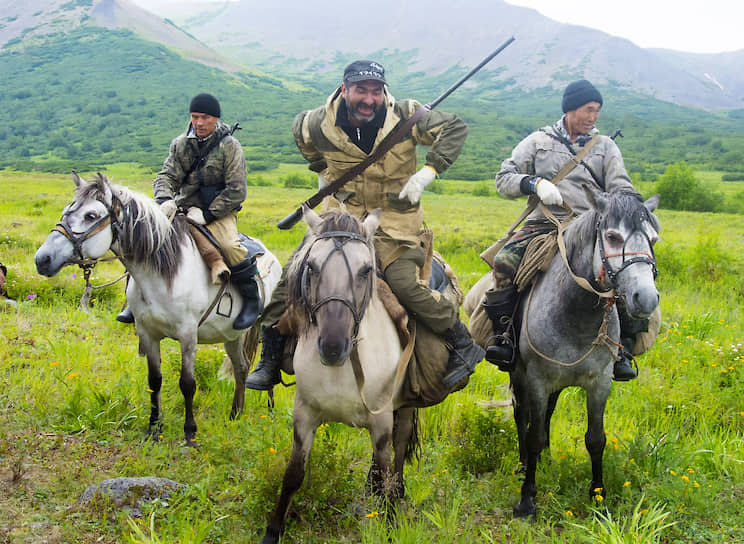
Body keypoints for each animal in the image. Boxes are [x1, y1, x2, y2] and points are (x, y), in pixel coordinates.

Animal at [34, 172, 282, 444]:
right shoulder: (147, 333)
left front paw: (189, 433)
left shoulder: (187, 335)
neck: (162, 272)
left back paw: (269, 410)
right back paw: (235, 414)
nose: (42, 259)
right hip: (232, 335)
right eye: (66, 211)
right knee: (241, 367)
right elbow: (155, 380)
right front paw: (154, 428)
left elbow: (188, 384)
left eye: (90, 215)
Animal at [262, 206, 422, 540]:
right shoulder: (304, 413)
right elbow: (293, 473)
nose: (333, 347)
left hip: (404, 408)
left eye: (366, 270)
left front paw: (390, 525)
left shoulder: (381, 421)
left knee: (399, 450)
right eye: (310, 266)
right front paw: (274, 529)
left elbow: (387, 472)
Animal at [468, 190, 660, 520]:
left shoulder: (599, 383)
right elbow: (532, 435)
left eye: (654, 239)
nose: (646, 299)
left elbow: (595, 439)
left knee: (546, 414)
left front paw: (598, 498)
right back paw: (524, 465)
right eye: (612, 236)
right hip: (520, 375)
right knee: (522, 416)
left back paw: (544, 460)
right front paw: (526, 500)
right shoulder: (537, 379)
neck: (577, 314)